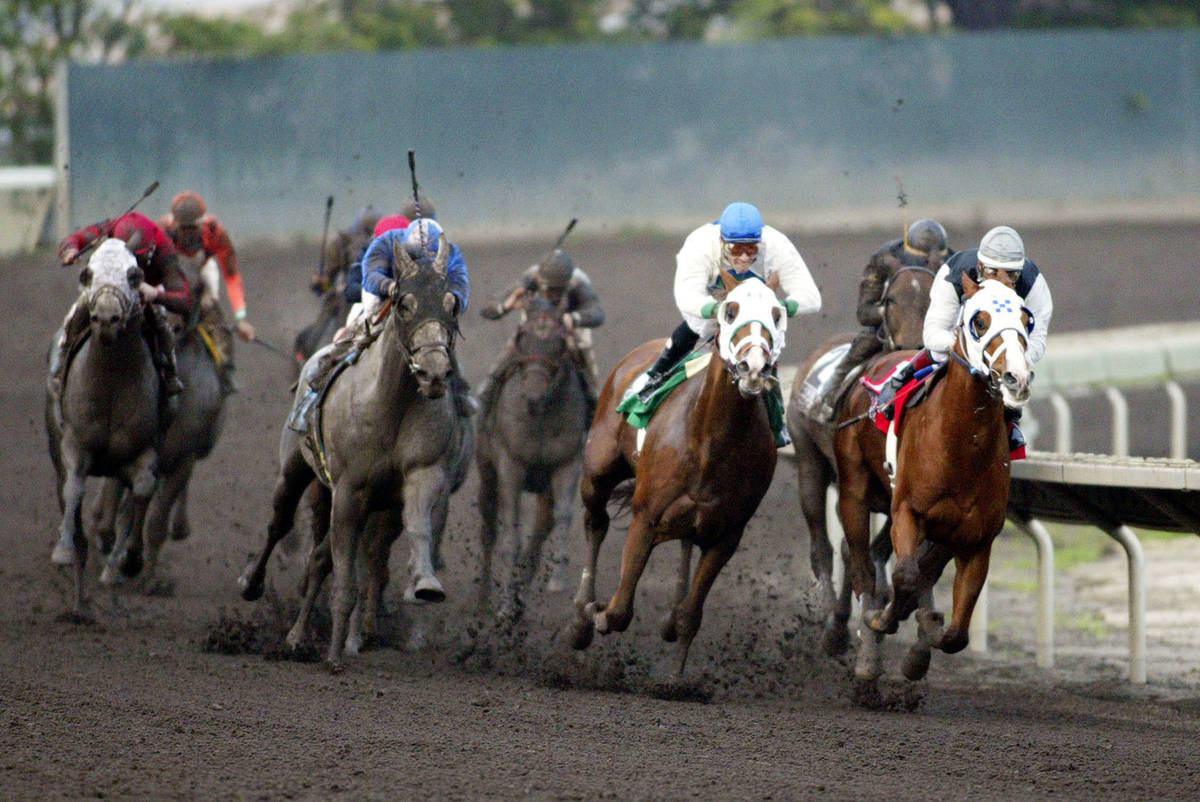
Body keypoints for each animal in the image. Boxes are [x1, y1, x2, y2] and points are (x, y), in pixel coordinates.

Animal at [44, 237, 163, 614]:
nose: (107, 318)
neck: (111, 379)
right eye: (88, 273)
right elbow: (73, 489)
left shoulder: (143, 453)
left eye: (134, 274)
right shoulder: (73, 446)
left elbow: (140, 494)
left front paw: (123, 563)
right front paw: (64, 551)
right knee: (66, 494)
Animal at [238, 232, 472, 672]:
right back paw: (254, 587)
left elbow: (417, 527)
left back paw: (299, 635)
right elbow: (344, 577)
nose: (435, 372)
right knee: (279, 524)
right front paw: (334, 656)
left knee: (323, 559)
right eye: (405, 304)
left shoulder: (421, 475)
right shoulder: (349, 491)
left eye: (451, 303)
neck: (391, 405)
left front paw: (425, 584)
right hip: (295, 470)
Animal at [477, 292, 590, 619]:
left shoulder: (567, 463)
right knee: (488, 530)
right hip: (486, 472)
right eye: (521, 337)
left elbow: (562, 515)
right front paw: (503, 605)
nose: (533, 396)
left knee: (541, 529)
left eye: (560, 342)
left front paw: (556, 579)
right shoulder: (510, 467)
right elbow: (510, 536)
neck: (540, 418)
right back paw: (484, 600)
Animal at [566, 271, 792, 681]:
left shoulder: (727, 533)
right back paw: (579, 618)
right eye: (730, 311)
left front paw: (674, 678)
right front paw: (596, 614)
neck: (710, 438)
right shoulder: (646, 516)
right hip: (597, 470)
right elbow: (619, 611)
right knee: (596, 523)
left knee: (686, 543)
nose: (753, 367)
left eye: (777, 314)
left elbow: (690, 615)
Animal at [835, 277, 1032, 681]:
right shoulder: (908, 513)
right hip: (854, 490)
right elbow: (906, 576)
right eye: (979, 322)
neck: (961, 444)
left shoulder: (977, 538)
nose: (1016, 378)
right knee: (861, 560)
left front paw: (925, 639)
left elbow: (956, 633)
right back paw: (867, 645)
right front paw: (882, 619)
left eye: (1026, 319)